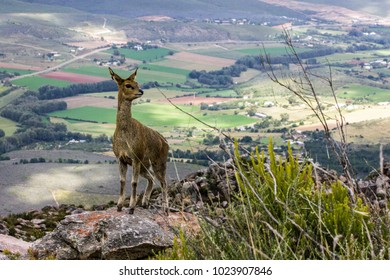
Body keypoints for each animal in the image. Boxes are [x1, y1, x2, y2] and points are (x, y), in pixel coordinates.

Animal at [109, 68, 171, 214]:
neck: (124, 135)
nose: (141, 91)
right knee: (152, 178)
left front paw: (131, 207)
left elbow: (133, 182)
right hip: (145, 165)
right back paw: (145, 202)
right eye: (128, 85)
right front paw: (119, 206)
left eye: (137, 83)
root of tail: (166, 142)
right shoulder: (121, 158)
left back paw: (165, 209)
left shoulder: (135, 157)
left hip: (159, 162)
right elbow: (122, 181)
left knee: (164, 182)